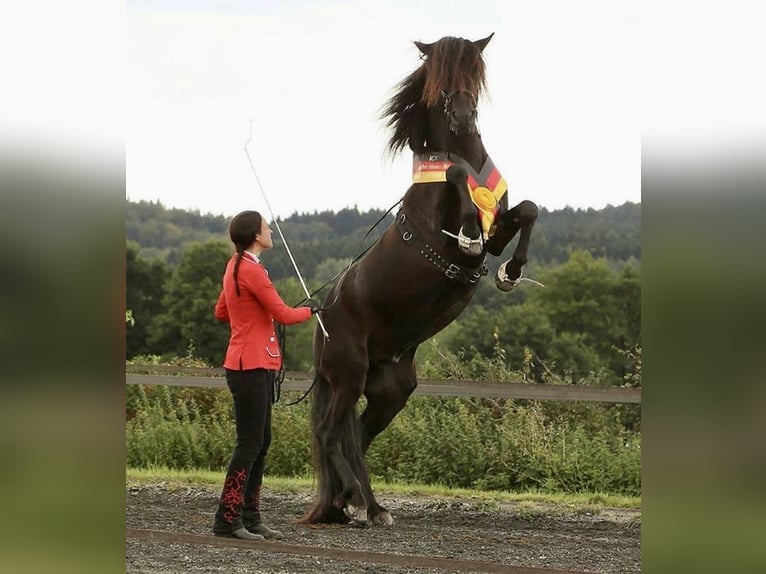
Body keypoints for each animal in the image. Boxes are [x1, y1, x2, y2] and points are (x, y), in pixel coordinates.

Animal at [302, 32, 540, 528]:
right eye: (439, 78)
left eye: (476, 71)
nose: (464, 116)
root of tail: (321, 315)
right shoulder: (441, 236)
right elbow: (457, 183)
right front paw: (468, 229)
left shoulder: (499, 232)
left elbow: (527, 210)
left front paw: (511, 271)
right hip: (348, 375)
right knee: (333, 434)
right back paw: (352, 500)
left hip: (391, 390)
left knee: (358, 438)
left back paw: (368, 507)